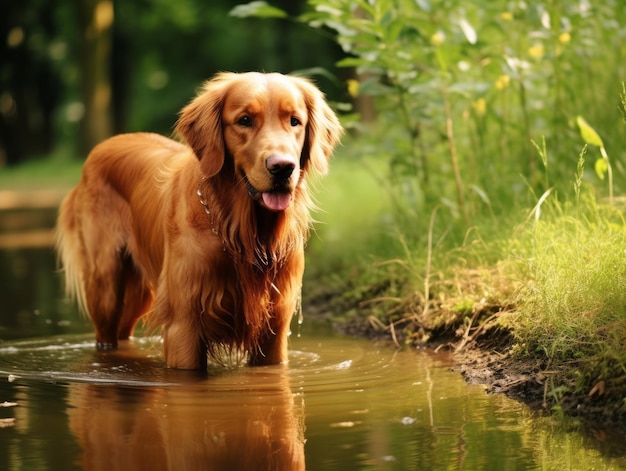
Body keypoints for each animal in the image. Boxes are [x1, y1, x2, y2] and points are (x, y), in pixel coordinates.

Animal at [56, 73, 342, 368]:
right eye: (245, 120)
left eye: (295, 121)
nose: (283, 167)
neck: (243, 235)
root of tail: (100, 148)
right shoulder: (184, 325)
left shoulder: (274, 327)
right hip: (106, 287)